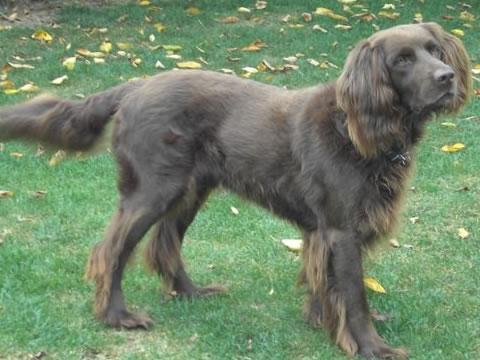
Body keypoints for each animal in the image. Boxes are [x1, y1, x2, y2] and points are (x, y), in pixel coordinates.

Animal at [0, 23, 472, 358]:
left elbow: (326, 284)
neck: (355, 128)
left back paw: (190, 293)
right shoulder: (341, 229)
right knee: (112, 250)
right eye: (402, 60)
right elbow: (353, 293)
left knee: (164, 243)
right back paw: (117, 316)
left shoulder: (321, 231)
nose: (446, 77)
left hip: (189, 189)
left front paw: (322, 323)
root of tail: (136, 86)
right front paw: (371, 347)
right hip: (152, 189)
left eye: (434, 50)